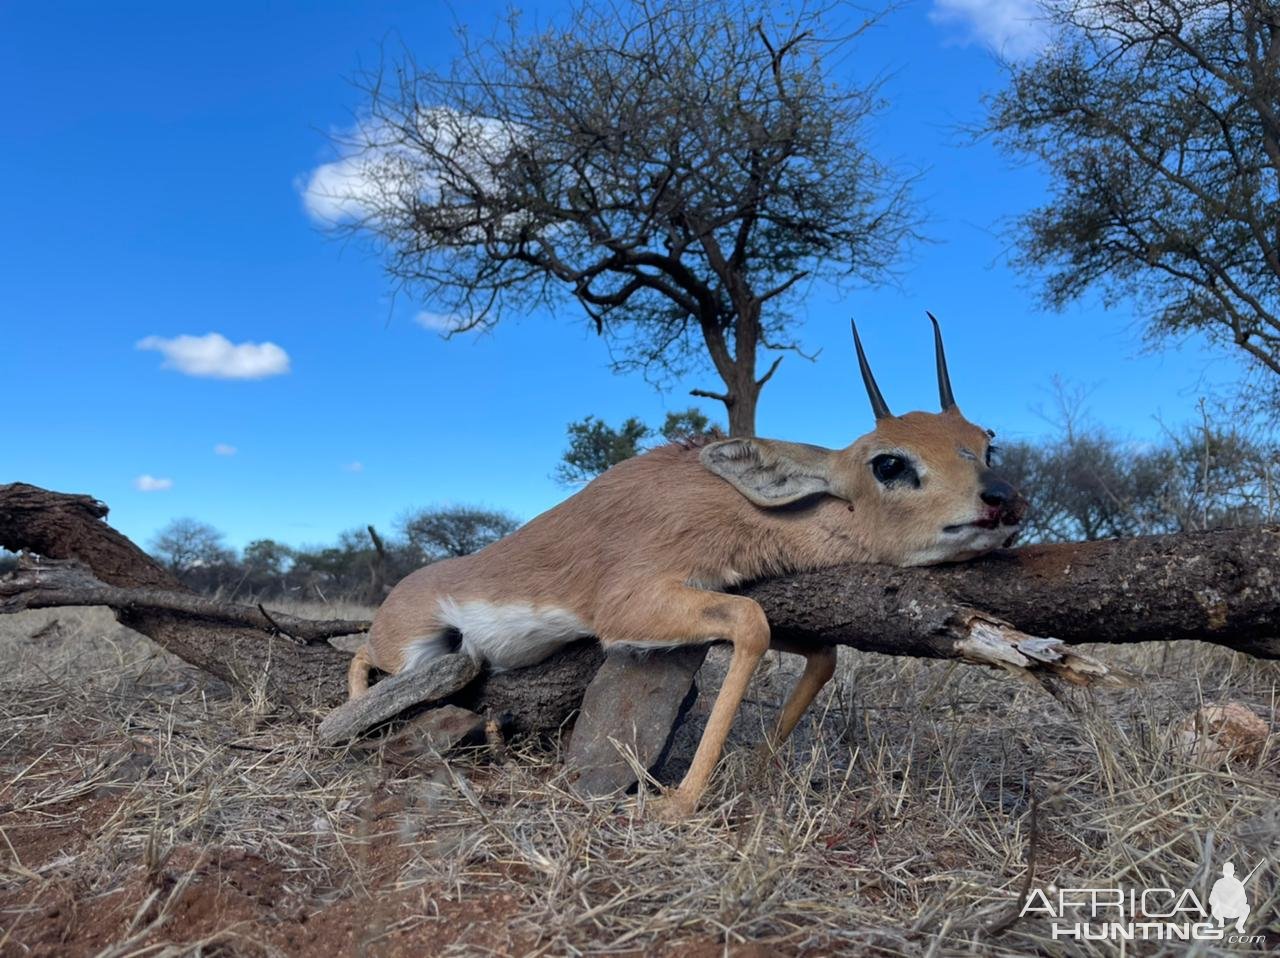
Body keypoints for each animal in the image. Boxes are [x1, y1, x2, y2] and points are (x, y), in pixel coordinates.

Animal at [345, 316, 1024, 814]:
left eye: (986, 442)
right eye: (888, 462)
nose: (1004, 499)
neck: (728, 503)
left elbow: (823, 653)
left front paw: (754, 770)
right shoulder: (628, 608)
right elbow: (751, 625)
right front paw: (676, 805)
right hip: (415, 652)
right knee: (362, 655)